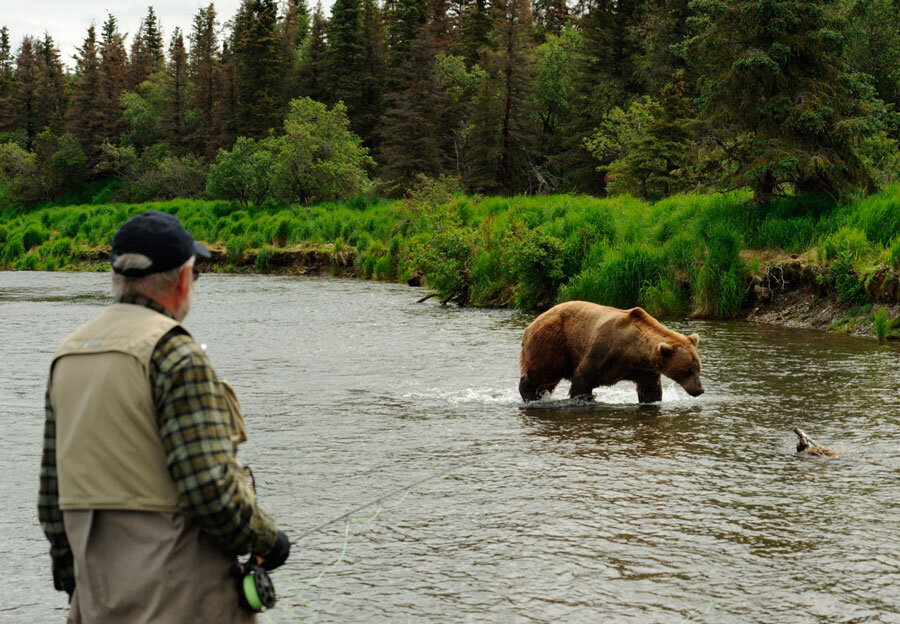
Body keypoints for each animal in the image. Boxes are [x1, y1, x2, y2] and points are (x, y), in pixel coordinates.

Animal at [520, 300, 704, 402]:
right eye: (687, 371)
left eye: (698, 369)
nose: (699, 390)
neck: (632, 351)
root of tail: (532, 323)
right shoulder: (602, 351)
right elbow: (583, 379)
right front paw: (585, 398)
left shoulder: (644, 370)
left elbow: (650, 390)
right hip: (553, 343)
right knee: (542, 372)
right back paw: (529, 394)